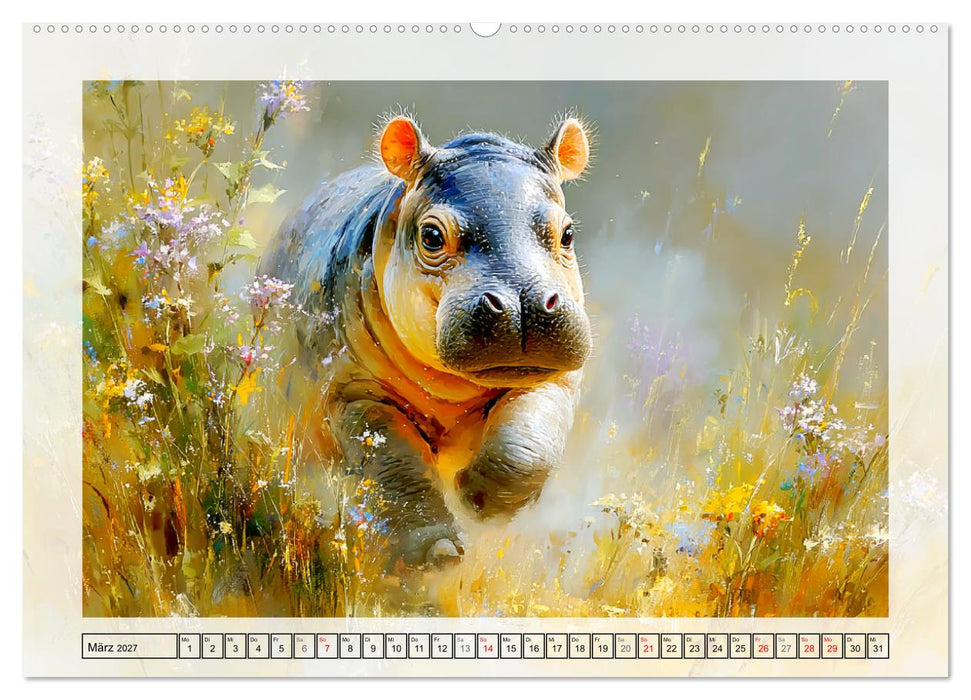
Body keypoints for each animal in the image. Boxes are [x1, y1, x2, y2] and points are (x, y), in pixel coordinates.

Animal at [260, 114, 593, 568]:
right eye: (432, 236)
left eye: (568, 233)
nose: (522, 304)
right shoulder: (354, 392)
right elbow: (397, 466)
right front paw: (439, 552)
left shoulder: (552, 378)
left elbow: (526, 444)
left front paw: (481, 501)